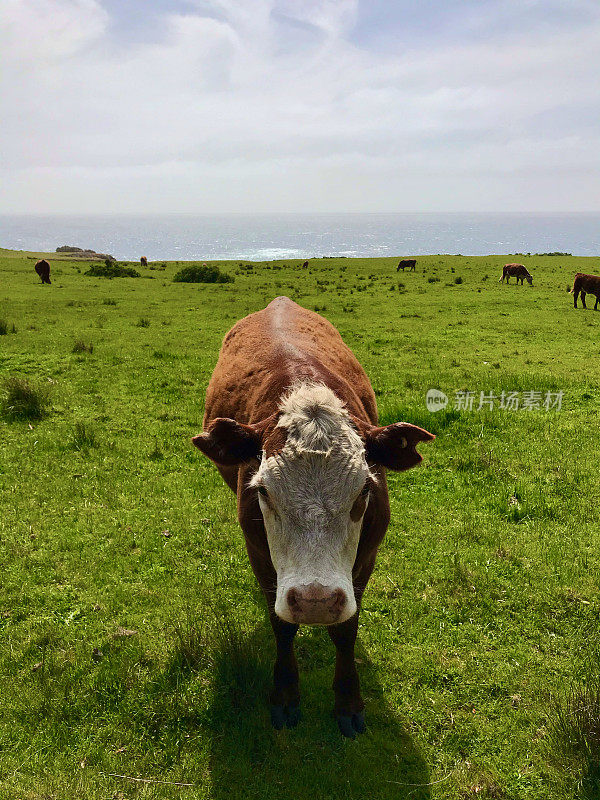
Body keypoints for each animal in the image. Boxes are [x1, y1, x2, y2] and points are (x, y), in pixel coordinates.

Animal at [192, 296, 432, 736]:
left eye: (364, 491)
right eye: (263, 491)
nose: (315, 601)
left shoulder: (365, 558)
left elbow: (346, 630)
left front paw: (349, 701)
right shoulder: (260, 554)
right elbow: (283, 626)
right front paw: (286, 695)